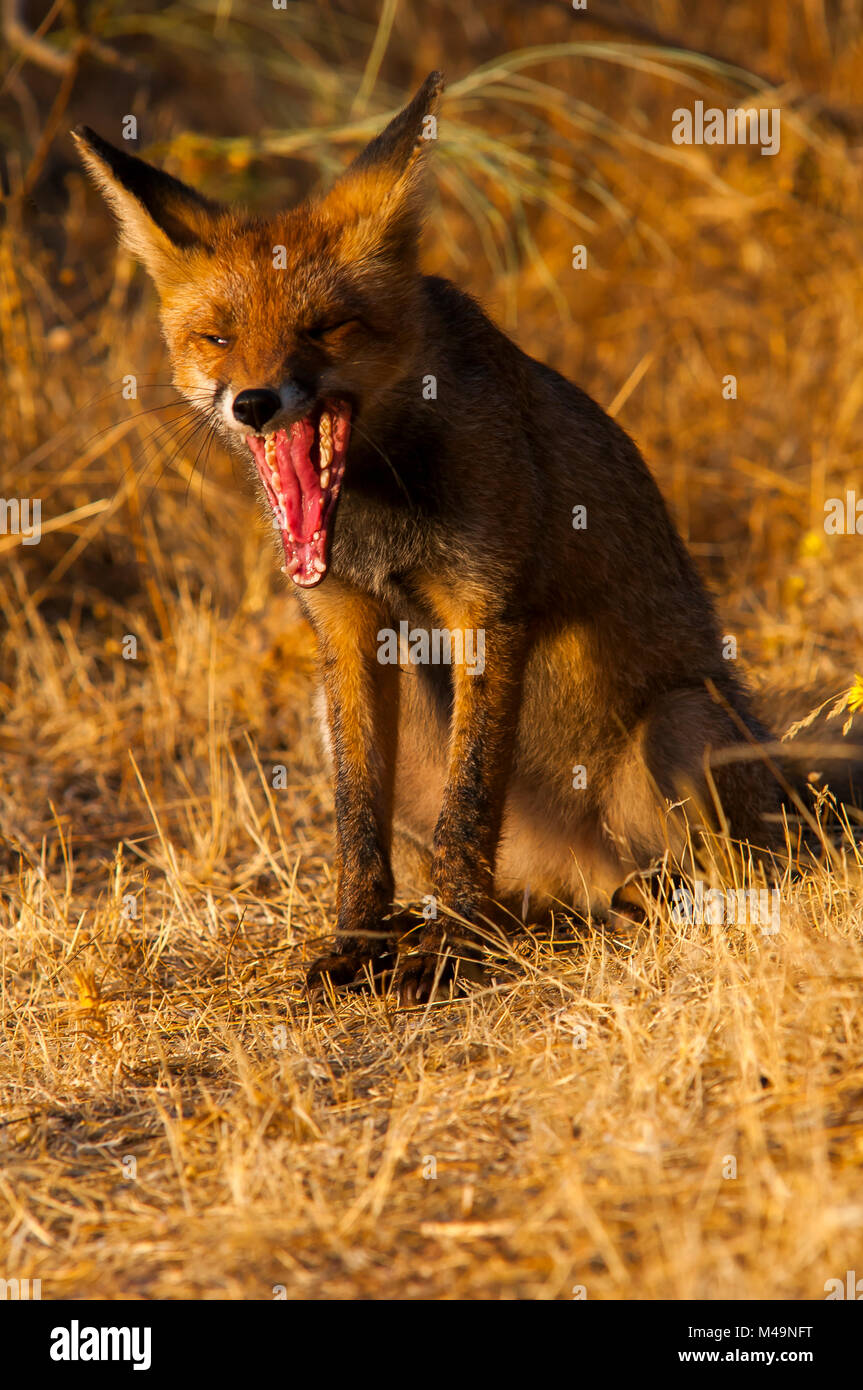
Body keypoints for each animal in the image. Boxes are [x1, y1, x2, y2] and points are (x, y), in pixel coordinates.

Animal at [74, 73, 838, 1005]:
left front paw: (454, 948)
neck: (382, 505)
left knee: (724, 875)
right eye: (216, 336)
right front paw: (359, 939)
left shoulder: (485, 608)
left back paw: (611, 903)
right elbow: (357, 824)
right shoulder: (347, 626)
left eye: (323, 328)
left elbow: (469, 805)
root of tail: (575, 878)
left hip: (682, 723)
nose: (253, 403)